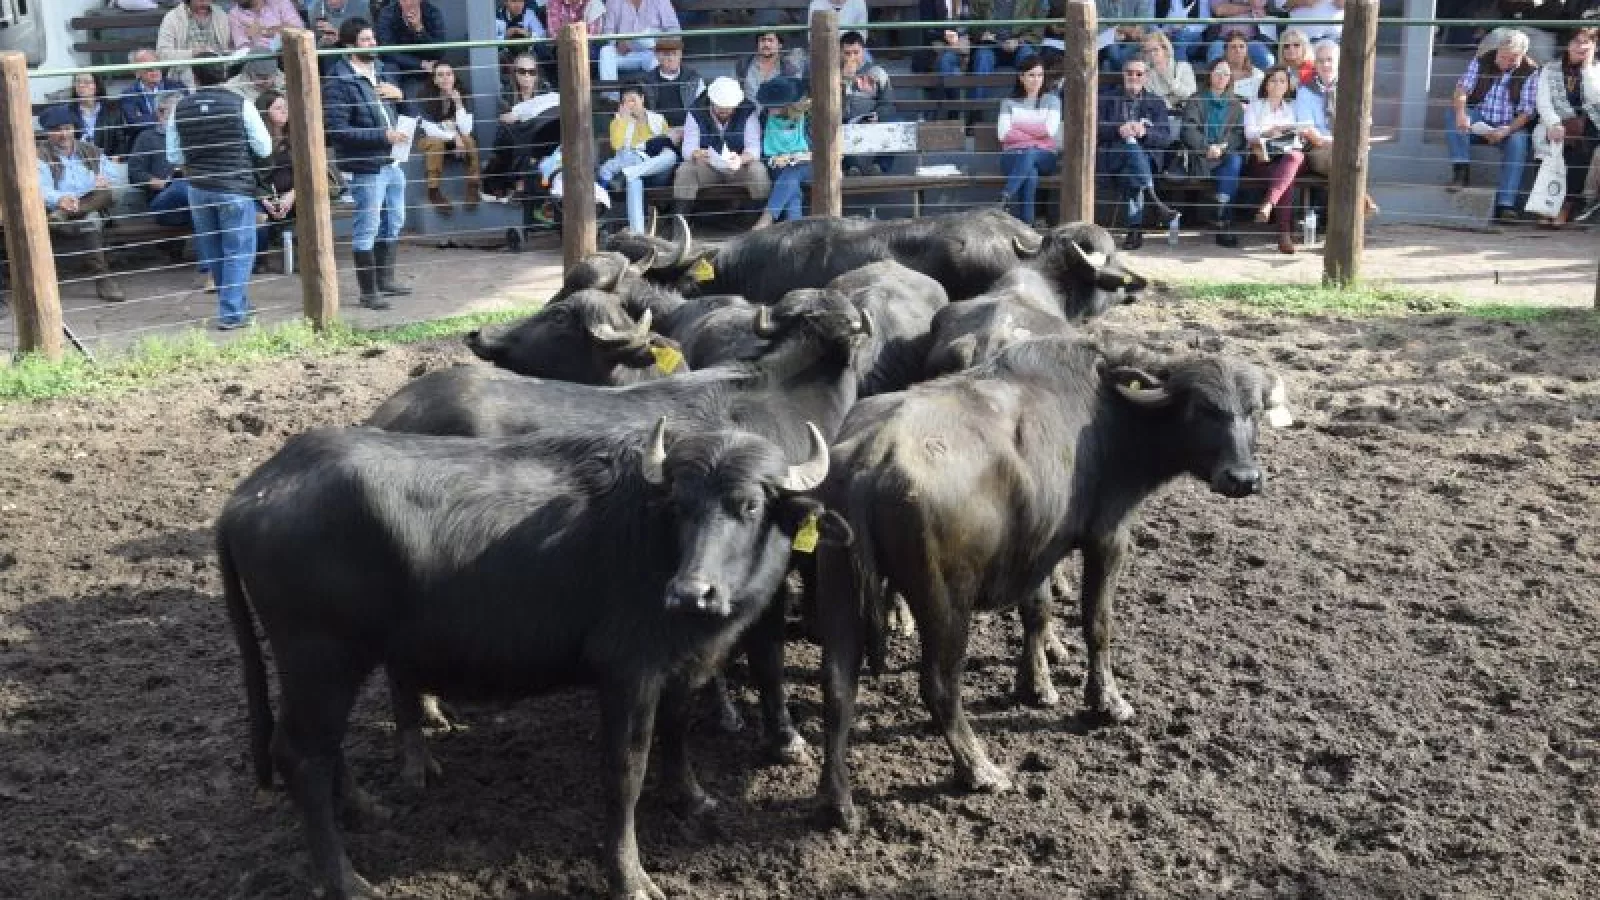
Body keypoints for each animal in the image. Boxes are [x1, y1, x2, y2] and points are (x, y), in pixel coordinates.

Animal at [219, 419, 847, 900]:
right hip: (317, 656)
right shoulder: (628, 674)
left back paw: (364, 809)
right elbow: (625, 771)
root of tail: (249, 494)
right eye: (679, 506)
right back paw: (348, 881)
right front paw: (630, 877)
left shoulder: (677, 669)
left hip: (334, 663)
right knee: (301, 754)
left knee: (324, 748)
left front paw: (691, 798)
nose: (692, 592)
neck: (657, 545)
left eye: (748, 506)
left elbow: (676, 733)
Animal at [811, 336, 1294, 832]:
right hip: (946, 601)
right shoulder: (1108, 535)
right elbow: (1097, 622)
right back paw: (980, 770)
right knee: (939, 685)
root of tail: (869, 458)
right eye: (1202, 408)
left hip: (838, 586)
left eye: (1254, 410)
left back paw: (838, 801)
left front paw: (1035, 685)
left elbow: (1036, 612)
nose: (1243, 479)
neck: (1110, 414)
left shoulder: (1038, 547)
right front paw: (1107, 702)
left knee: (838, 687)